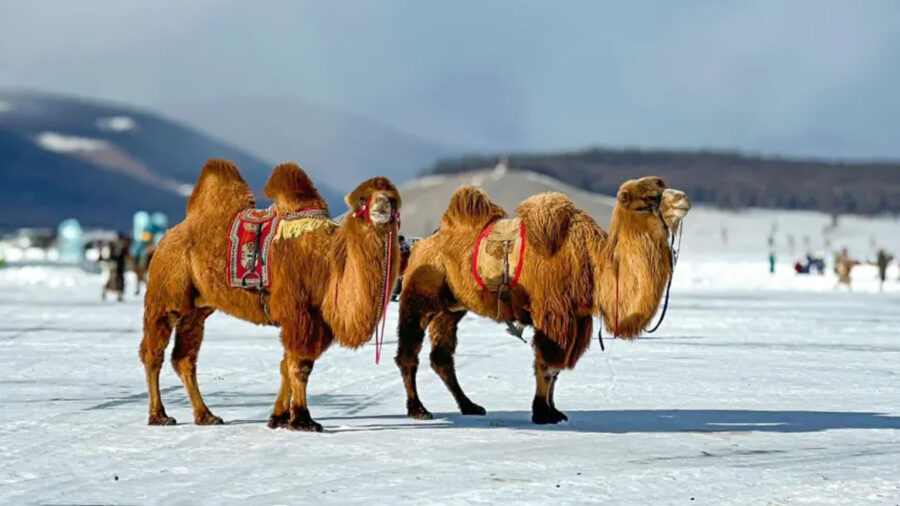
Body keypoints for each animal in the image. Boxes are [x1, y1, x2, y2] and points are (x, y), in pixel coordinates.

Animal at [140, 159, 401, 432]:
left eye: (392, 199)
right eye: (363, 199)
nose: (381, 206)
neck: (328, 265)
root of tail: (167, 236)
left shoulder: (312, 319)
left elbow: (287, 364)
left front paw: (279, 417)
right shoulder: (299, 311)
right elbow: (300, 365)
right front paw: (303, 420)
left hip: (197, 310)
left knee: (184, 358)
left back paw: (206, 416)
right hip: (166, 291)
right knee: (153, 352)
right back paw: (159, 416)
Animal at [395, 176, 690, 424]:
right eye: (650, 197)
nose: (683, 198)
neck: (591, 263)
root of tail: (420, 245)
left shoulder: (577, 318)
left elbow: (557, 370)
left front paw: (555, 411)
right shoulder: (554, 313)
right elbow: (547, 365)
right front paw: (541, 413)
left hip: (451, 307)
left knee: (441, 357)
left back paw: (470, 406)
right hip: (419, 294)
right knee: (409, 353)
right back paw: (419, 409)